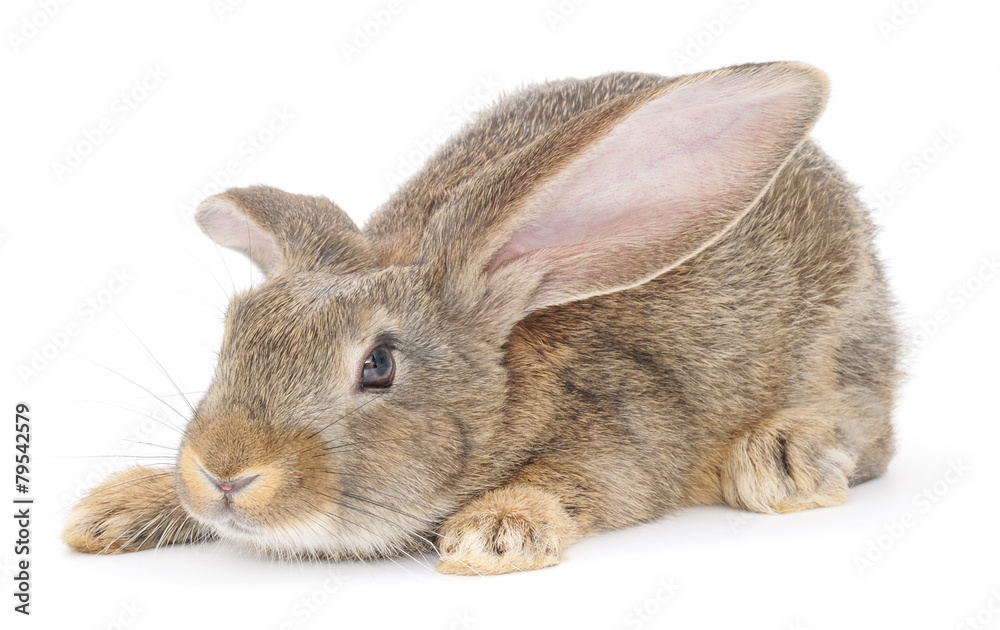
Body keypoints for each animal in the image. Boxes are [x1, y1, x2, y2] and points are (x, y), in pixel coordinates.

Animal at [62, 61, 900, 575]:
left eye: (379, 366)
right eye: (234, 333)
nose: (224, 472)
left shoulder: (628, 434)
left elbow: (577, 480)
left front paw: (495, 534)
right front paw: (116, 509)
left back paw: (783, 456)